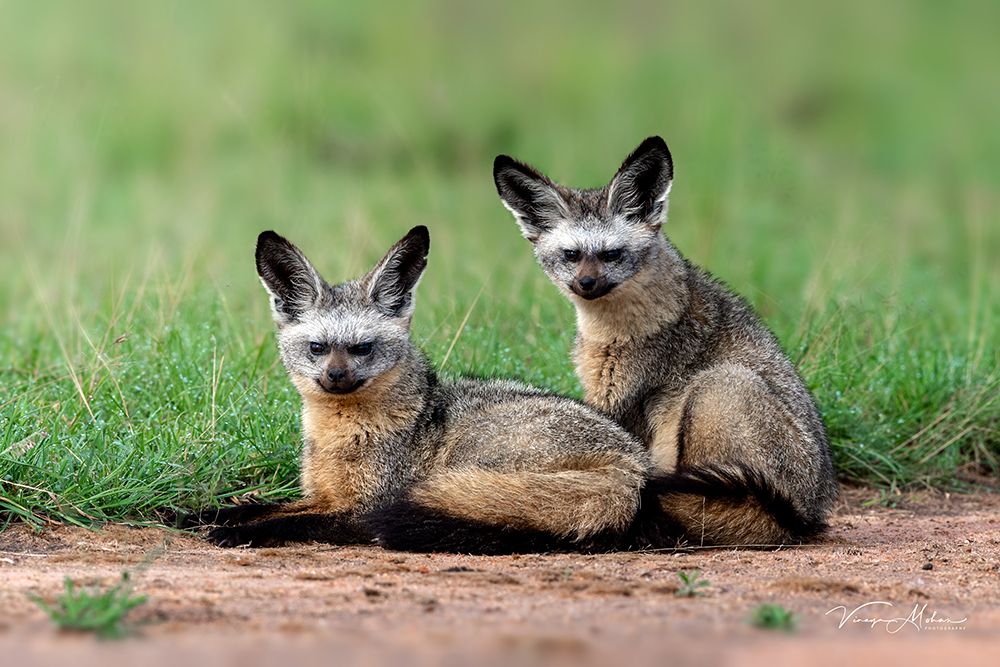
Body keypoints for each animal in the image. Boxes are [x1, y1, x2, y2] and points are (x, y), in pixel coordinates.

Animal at [196, 225, 673, 554]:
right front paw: (199, 513)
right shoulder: (322, 496)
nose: (336, 377)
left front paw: (234, 533)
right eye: (318, 348)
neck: (340, 440)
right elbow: (257, 505)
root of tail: (633, 464)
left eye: (362, 348)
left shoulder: (362, 508)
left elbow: (284, 522)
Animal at [492, 136, 838, 546]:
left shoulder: (619, 403)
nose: (586, 284)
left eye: (611, 254)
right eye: (571, 255)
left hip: (717, 388)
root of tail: (808, 518)